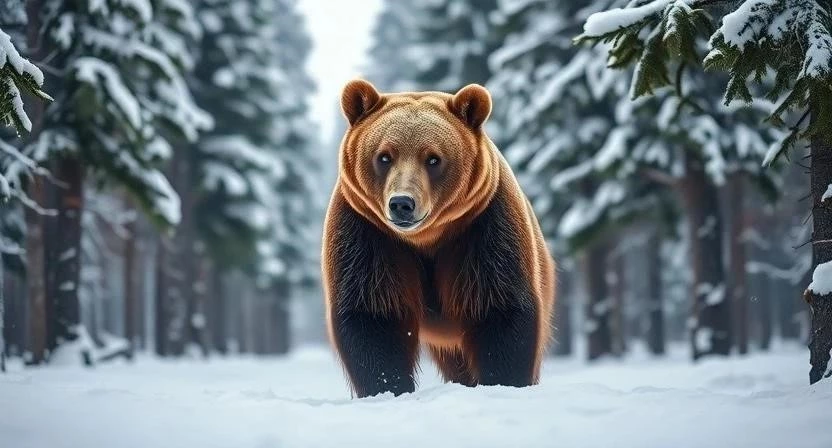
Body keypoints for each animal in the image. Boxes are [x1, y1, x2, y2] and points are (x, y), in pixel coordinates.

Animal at [322, 79, 556, 398]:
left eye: (433, 158)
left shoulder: (484, 230)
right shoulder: (367, 235)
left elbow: (499, 309)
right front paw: (387, 387)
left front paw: (503, 381)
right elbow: (373, 314)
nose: (402, 203)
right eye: (384, 156)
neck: (426, 239)